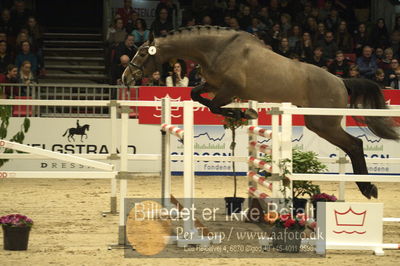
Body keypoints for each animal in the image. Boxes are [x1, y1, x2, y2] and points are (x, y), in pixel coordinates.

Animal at [122, 26, 400, 200]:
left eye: (142, 53)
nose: (126, 78)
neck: (216, 49)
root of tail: (341, 80)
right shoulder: (213, 85)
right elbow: (196, 95)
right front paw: (244, 114)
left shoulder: (229, 89)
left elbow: (214, 106)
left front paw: (244, 115)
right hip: (319, 123)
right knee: (352, 146)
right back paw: (366, 187)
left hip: (324, 123)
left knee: (355, 144)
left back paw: (368, 188)